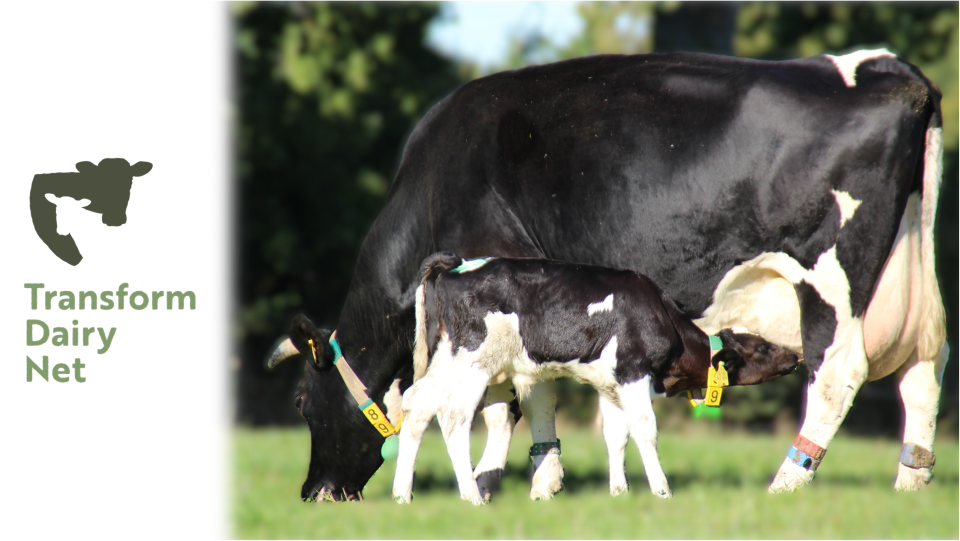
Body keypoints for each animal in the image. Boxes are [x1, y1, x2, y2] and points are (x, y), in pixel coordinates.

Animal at [389, 253, 800, 504]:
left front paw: (619, 491)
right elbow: (645, 429)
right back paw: (472, 496)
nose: (795, 357)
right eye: (761, 348)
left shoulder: (610, 384)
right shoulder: (633, 372)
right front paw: (661, 491)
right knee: (453, 416)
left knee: (418, 404)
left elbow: (616, 435)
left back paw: (402, 495)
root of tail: (457, 265)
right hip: (476, 361)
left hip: (448, 356)